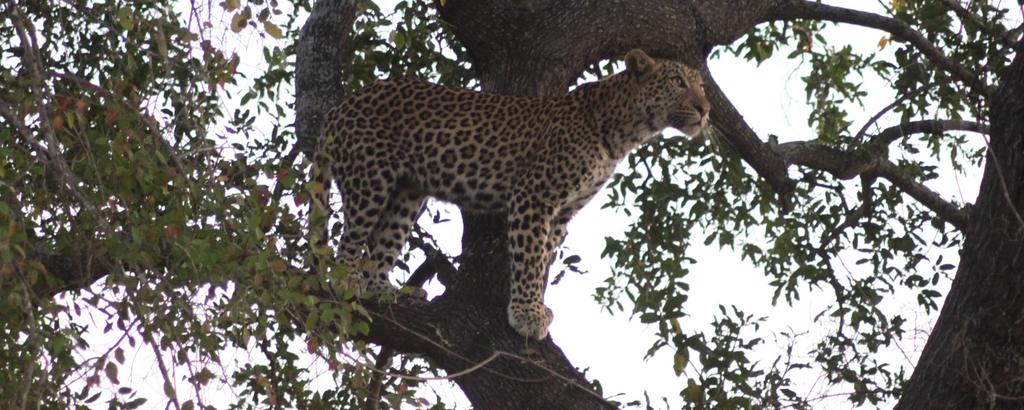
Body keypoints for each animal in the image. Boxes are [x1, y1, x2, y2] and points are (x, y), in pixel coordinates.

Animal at [313, 48, 712, 340]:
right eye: (677, 81)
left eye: (702, 88)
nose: (705, 109)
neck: (625, 131)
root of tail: (341, 105)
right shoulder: (534, 195)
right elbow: (530, 257)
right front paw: (525, 313)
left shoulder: (563, 212)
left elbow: (544, 259)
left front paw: (535, 306)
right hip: (369, 178)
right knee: (351, 237)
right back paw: (345, 279)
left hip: (407, 194)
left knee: (381, 247)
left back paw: (386, 291)